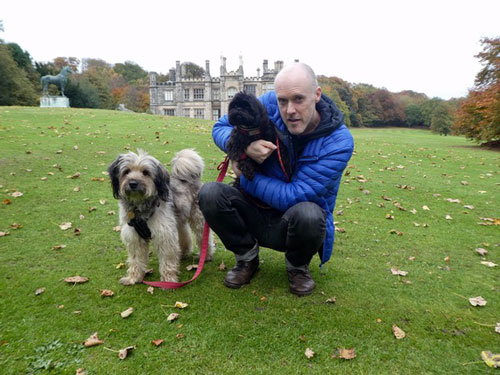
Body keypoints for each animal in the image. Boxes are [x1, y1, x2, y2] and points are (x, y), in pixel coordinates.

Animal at [108, 150, 214, 284]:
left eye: (145, 172)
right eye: (126, 171)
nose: (133, 183)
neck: (140, 207)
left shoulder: (164, 234)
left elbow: (167, 259)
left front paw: (168, 280)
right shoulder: (134, 237)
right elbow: (135, 260)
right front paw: (133, 278)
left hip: (197, 218)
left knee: (203, 237)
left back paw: (207, 255)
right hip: (177, 220)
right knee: (184, 234)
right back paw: (183, 252)